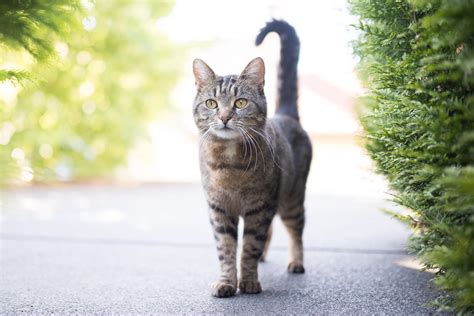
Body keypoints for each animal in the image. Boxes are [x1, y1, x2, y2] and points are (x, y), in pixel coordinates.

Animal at [191, 19, 312, 296]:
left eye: (241, 102)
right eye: (212, 103)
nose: (224, 117)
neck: (229, 165)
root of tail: (286, 115)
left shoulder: (260, 207)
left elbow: (249, 247)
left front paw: (248, 281)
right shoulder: (219, 209)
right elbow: (226, 249)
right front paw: (227, 282)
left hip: (291, 199)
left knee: (295, 230)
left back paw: (296, 262)